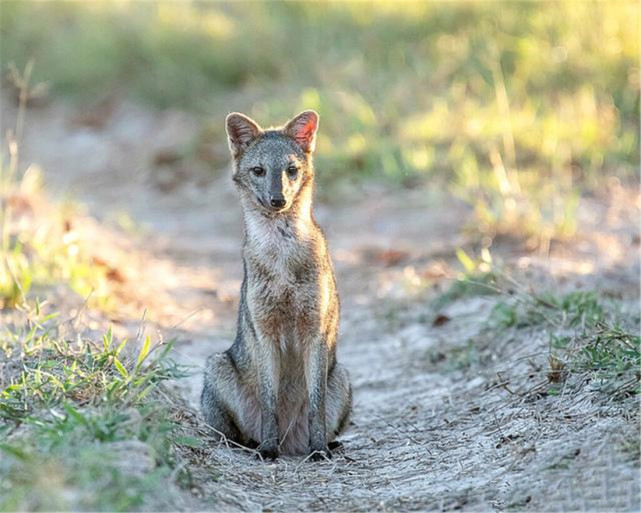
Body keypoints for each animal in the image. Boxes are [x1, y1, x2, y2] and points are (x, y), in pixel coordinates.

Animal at [200, 109, 350, 460]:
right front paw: (268, 449)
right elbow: (270, 402)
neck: (282, 256)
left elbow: (316, 405)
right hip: (216, 367)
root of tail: (290, 441)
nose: (277, 200)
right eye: (259, 171)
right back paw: (258, 445)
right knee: (236, 435)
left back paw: (321, 445)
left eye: (290, 170)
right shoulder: (265, 333)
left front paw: (319, 450)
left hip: (342, 377)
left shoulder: (314, 332)